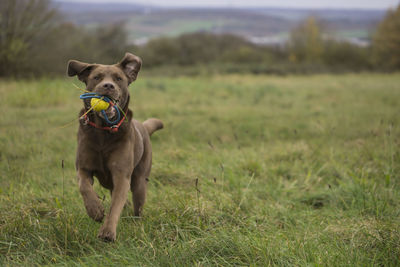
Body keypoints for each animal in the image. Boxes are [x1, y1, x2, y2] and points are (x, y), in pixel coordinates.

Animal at [67, 52, 162, 243]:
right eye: (97, 77)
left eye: (118, 79)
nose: (108, 86)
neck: (103, 131)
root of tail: (143, 127)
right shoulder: (83, 167)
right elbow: (84, 186)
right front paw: (95, 209)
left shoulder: (121, 175)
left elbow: (115, 206)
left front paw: (108, 232)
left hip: (140, 181)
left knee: (137, 206)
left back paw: (136, 223)